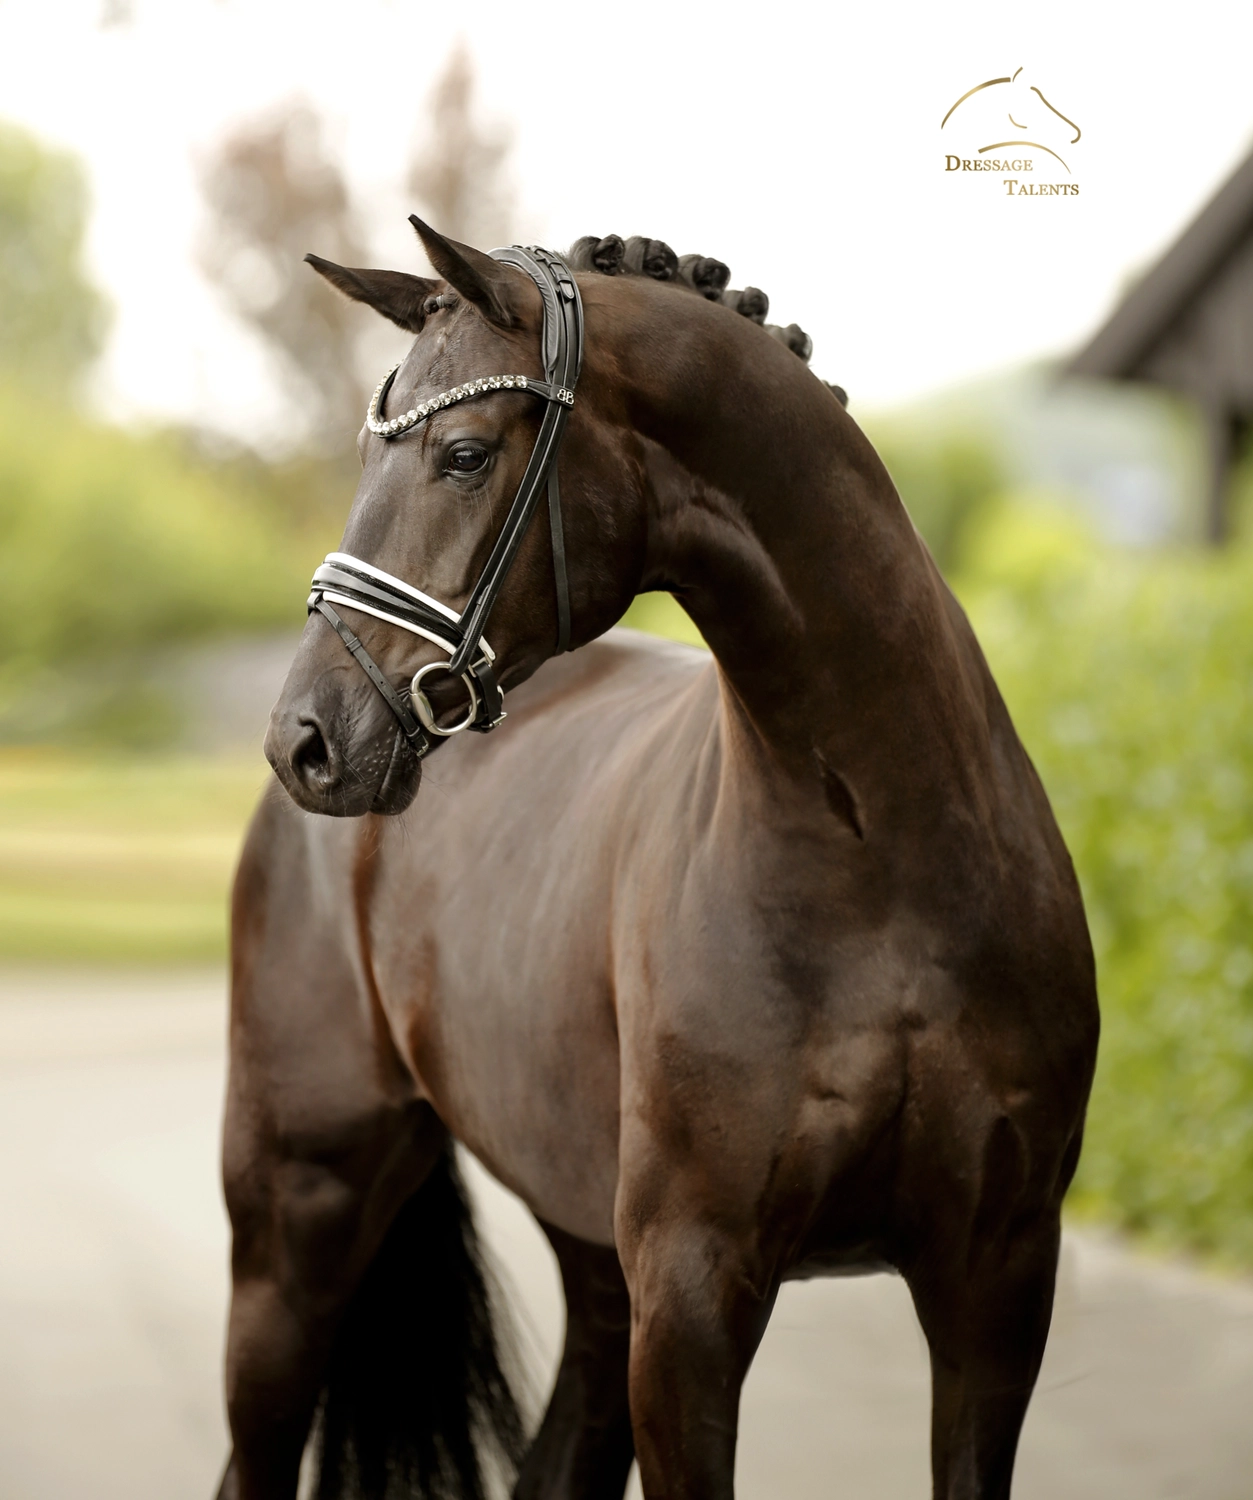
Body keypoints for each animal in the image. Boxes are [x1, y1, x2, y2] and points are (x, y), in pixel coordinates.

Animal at [216, 217, 1099, 1500]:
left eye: (465, 454)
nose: (307, 738)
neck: (876, 864)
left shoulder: (997, 1280)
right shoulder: (691, 1291)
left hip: (587, 1251)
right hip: (296, 1218)